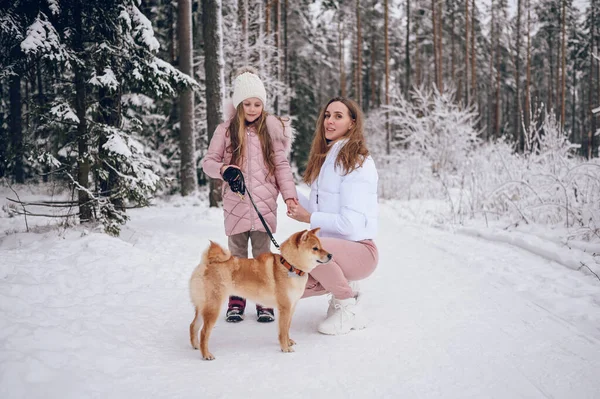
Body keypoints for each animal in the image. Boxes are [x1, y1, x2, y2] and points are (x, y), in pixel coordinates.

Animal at [189, 230, 332, 360]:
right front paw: (285, 347)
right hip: (213, 307)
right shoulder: (284, 308)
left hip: (203, 307)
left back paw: (196, 345)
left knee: (193, 325)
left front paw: (288, 341)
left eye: (321, 246)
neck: (289, 266)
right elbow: (283, 330)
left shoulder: (292, 307)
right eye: (315, 248)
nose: (330, 255)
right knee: (204, 332)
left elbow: (286, 328)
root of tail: (207, 263)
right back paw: (206, 354)